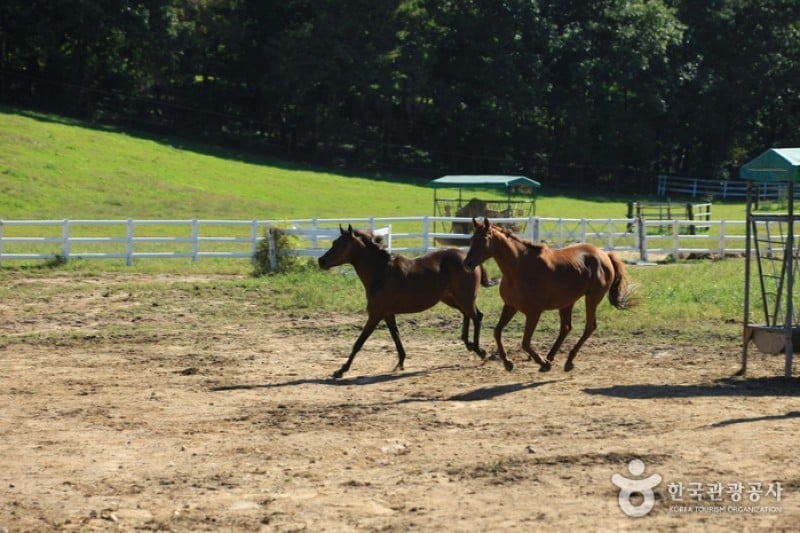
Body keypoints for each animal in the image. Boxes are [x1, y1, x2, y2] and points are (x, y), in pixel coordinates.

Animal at [318, 225, 491, 379]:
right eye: (334, 242)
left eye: (342, 244)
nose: (321, 261)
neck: (381, 272)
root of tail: (469, 259)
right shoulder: (387, 314)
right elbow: (396, 336)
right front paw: (400, 363)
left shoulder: (375, 314)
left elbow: (359, 343)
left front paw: (341, 370)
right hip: (453, 298)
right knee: (470, 315)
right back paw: (469, 344)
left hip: (464, 298)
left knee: (477, 317)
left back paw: (480, 351)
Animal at [464, 217, 635, 372]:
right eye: (472, 239)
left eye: (483, 239)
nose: (467, 264)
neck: (519, 268)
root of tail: (604, 255)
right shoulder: (510, 306)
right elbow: (497, 331)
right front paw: (508, 363)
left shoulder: (533, 312)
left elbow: (525, 342)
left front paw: (542, 363)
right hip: (567, 302)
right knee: (566, 328)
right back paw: (551, 356)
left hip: (592, 298)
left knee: (589, 327)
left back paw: (567, 361)